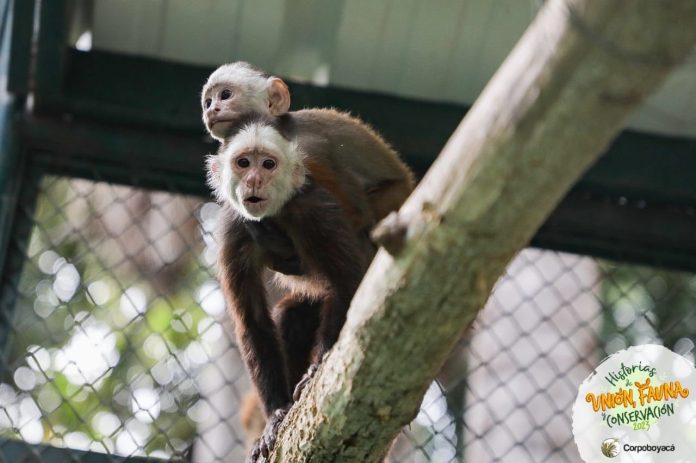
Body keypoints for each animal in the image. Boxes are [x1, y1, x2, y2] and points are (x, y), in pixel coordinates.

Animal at [207, 115, 372, 462]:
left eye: (268, 164)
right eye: (243, 163)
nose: (254, 179)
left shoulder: (313, 209)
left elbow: (350, 285)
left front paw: (317, 368)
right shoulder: (233, 228)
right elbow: (253, 321)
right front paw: (275, 416)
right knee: (291, 318)